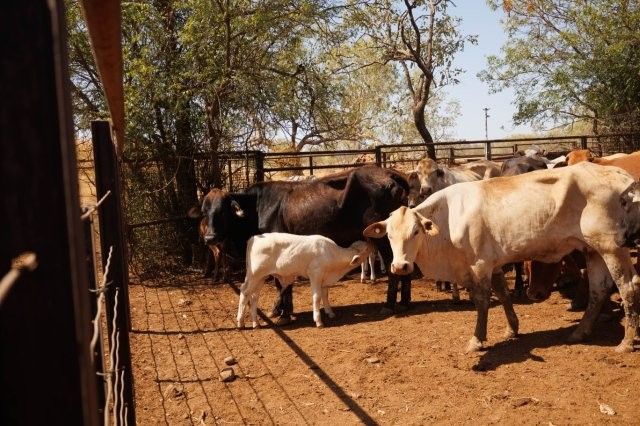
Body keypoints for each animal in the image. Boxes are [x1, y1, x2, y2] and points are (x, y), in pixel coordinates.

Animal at [237, 233, 372, 328]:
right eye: (366, 249)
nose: (373, 246)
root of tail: (254, 238)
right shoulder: (315, 274)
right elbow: (317, 297)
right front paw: (318, 321)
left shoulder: (325, 279)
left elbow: (325, 295)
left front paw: (330, 313)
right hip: (255, 274)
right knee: (245, 292)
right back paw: (240, 322)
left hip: (261, 277)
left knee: (254, 296)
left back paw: (256, 323)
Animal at [364, 162, 640, 353]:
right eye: (389, 235)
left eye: (416, 231)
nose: (400, 266)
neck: (449, 217)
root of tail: (620, 176)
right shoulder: (493, 264)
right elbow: (504, 295)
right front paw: (512, 329)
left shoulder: (479, 265)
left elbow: (483, 302)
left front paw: (477, 340)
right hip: (593, 250)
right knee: (598, 289)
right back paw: (580, 332)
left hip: (612, 247)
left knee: (628, 287)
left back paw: (626, 342)